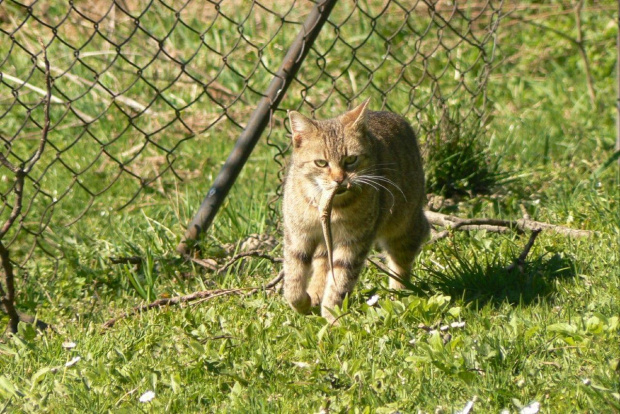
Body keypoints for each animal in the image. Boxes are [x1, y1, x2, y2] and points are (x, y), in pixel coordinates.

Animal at [284, 98, 428, 322]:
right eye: (321, 163)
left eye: (351, 159)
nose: (339, 179)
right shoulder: (298, 236)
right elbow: (293, 282)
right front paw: (304, 303)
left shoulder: (353, 242)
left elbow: (341, 279)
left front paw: (332, 316)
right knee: (322, 265)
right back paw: (315, 294)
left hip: (403, 227)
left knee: (402, 261)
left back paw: (398, 295)